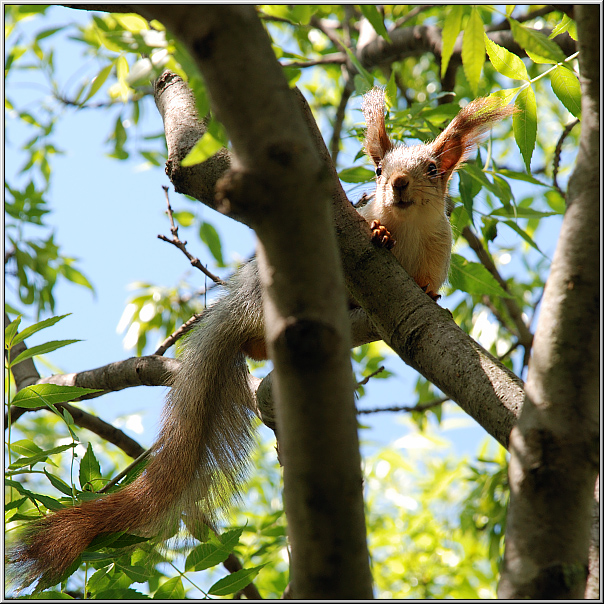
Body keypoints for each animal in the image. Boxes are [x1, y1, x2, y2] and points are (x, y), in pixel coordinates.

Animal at [7, 87, 512, 588]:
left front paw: (428, 291)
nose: (399, 184)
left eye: (432, 169)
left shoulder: (437, 249)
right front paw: (379, 231)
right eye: (377, 171)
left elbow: (428, 279)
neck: (409, 227)